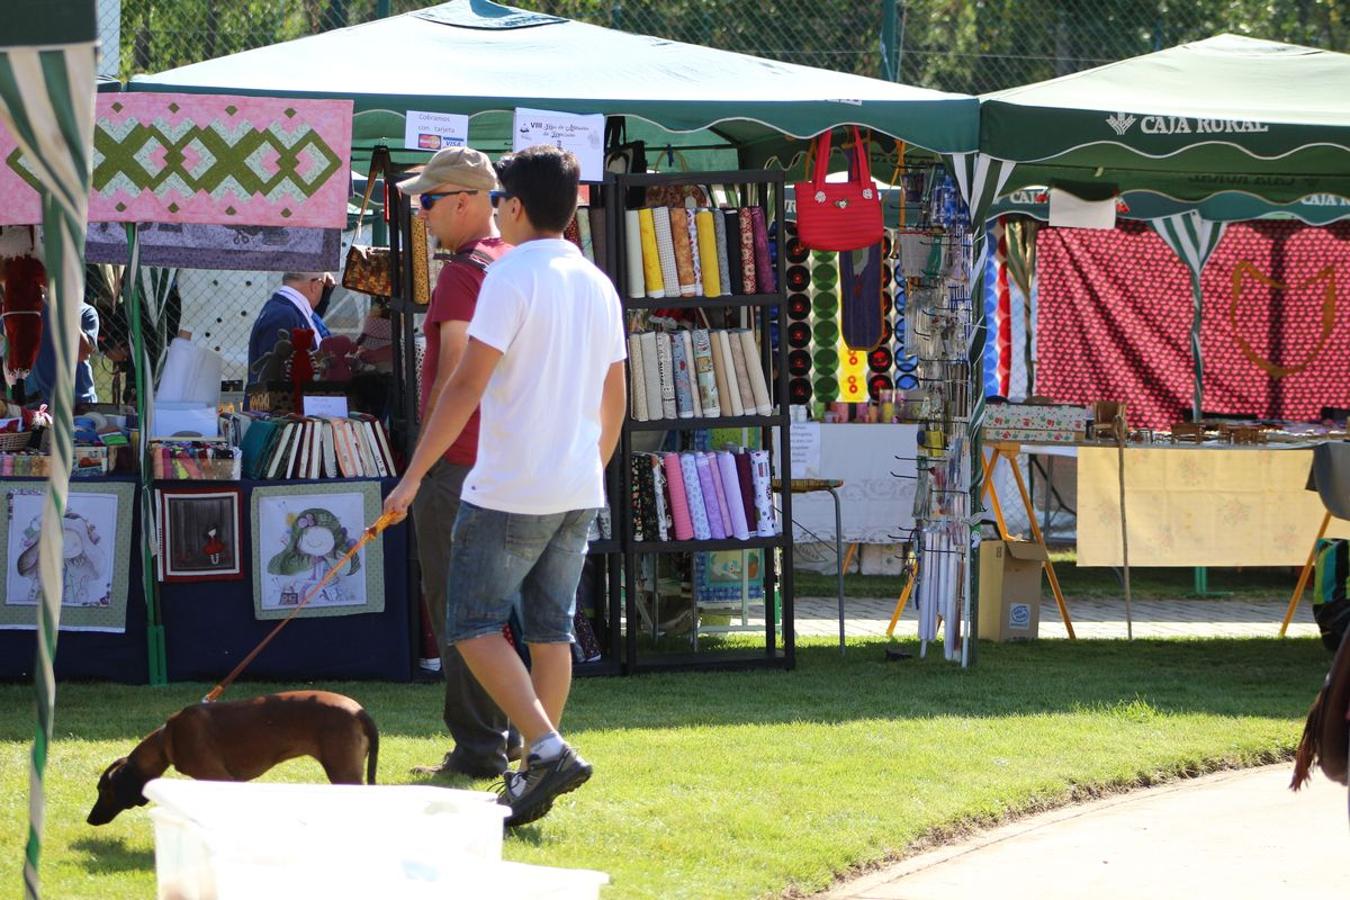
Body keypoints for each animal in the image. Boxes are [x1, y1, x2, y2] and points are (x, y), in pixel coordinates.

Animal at [87, 696, 378, 825]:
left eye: (104, 790)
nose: (90, 819)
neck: (166, 739)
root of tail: (359, 710)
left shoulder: (218, 777)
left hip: (342, 773)